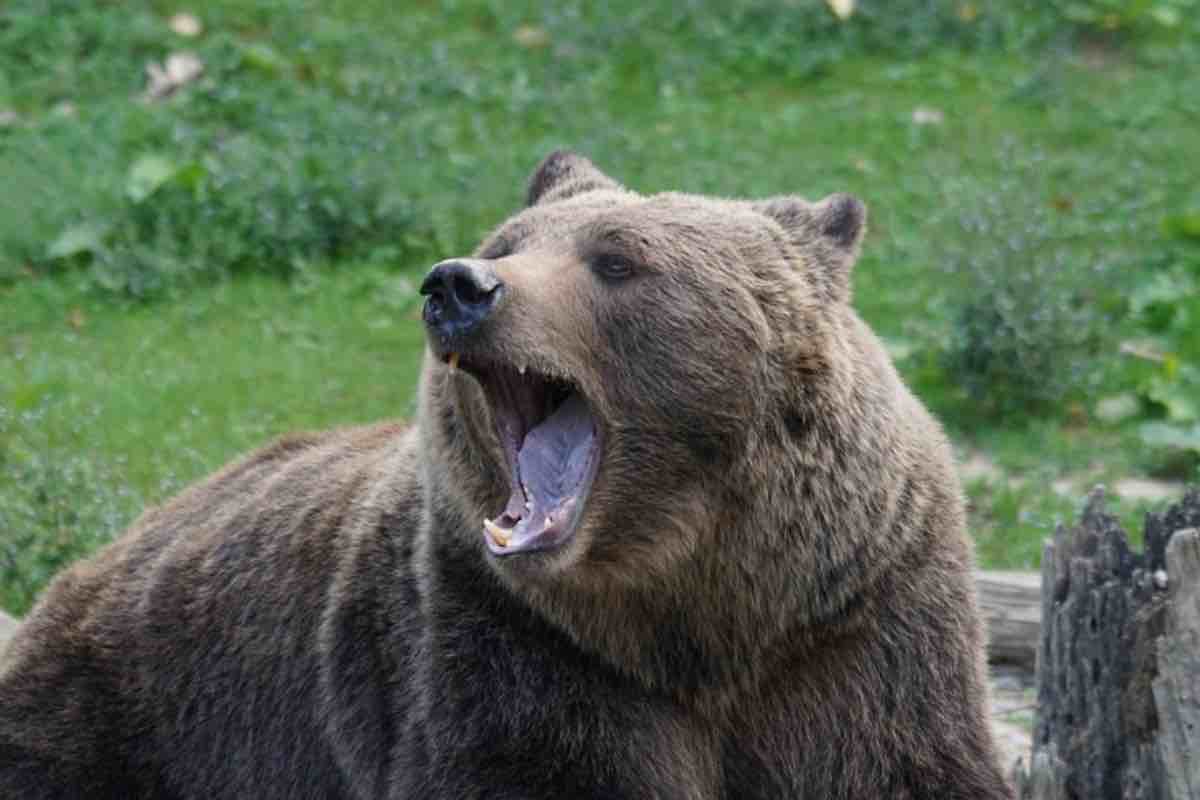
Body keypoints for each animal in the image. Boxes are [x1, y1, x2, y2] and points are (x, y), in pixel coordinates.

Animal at [0, 151, 1012, 799]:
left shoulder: (856, 632)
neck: (702, 614)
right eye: (508, 241)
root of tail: (84, 570)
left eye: (616, 259)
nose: (458, 286)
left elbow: (905, 763)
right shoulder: (514, 643)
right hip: (128, 714)